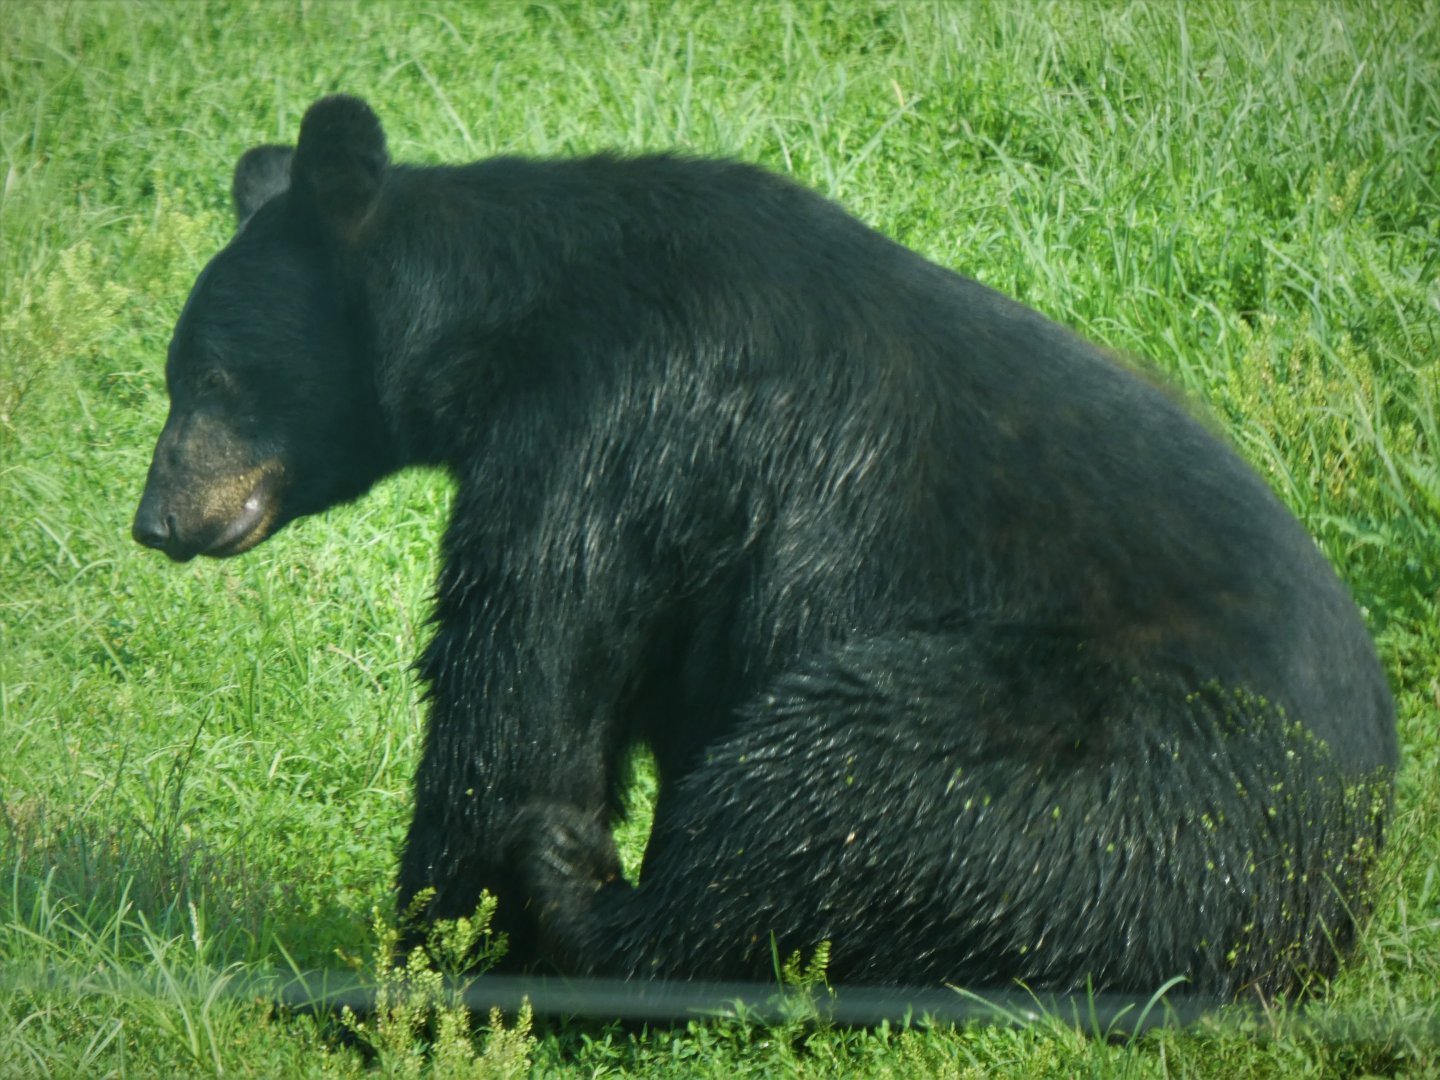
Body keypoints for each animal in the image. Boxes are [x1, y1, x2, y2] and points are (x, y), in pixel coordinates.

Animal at [132, 94, 1397, 999]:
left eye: (213, 374)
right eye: (181, 371)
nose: (155, 519)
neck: (512, 324)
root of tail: (1342, 885)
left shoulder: (607, 436)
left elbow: (522, 685)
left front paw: (418, 961)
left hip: (1108, 775)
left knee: (831, 781)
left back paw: (580, 890)